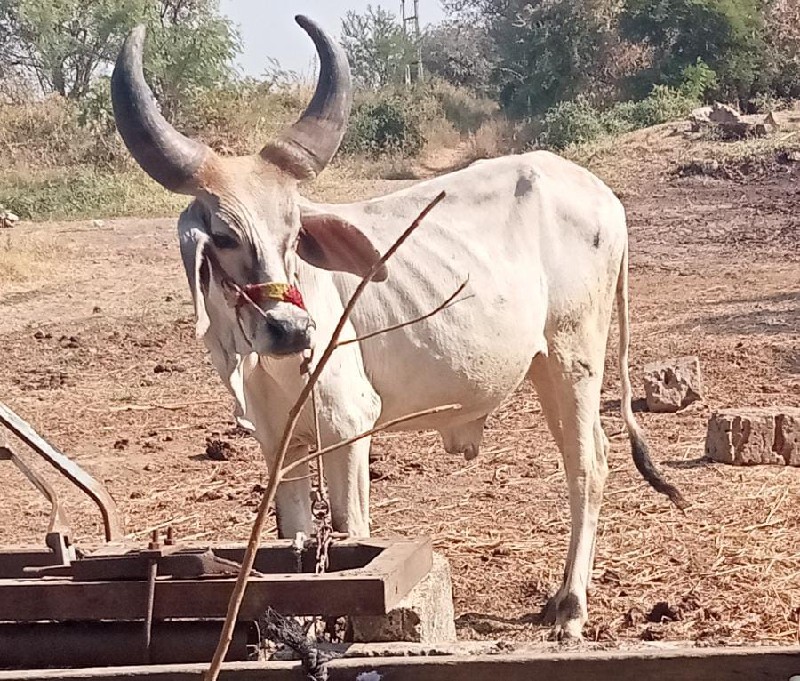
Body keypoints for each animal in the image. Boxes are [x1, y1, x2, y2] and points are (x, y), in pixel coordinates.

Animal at [112, 17, 684, 644]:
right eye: (222, 234)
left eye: (295, 231)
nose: (291, 329)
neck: (263, 367)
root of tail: (606, 197)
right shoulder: (279, 445)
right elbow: (293, 539)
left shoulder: (348, 425)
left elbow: (350, 531)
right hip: (542, 367)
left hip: (574, 358)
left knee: (588, 465)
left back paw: (572, 607)